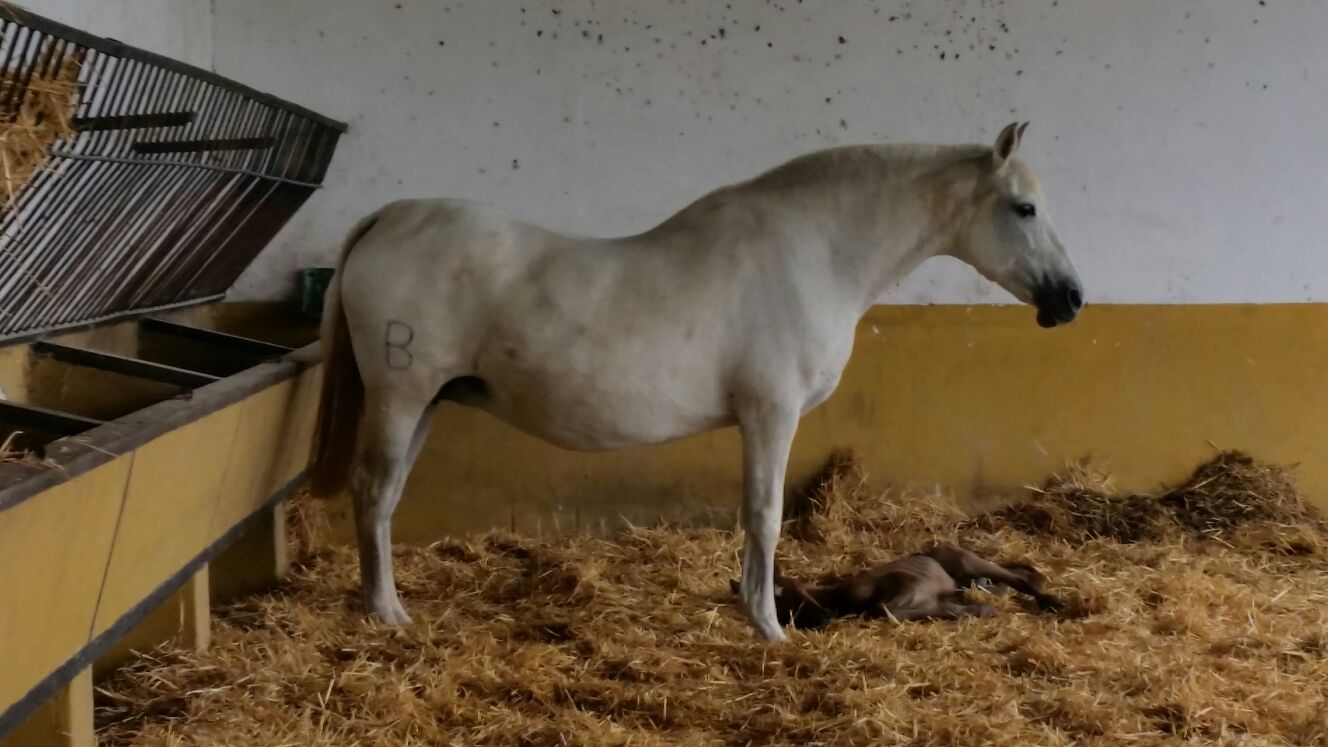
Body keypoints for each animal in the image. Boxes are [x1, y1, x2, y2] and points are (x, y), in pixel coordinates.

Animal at [308, 122, 1078, 640]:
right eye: (1025, 209)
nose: (1070, 299)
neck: (814, 254)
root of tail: (390, 217)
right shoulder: (771, 413)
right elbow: (763, 516)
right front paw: (768, 626)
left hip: (429, 402)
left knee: (385, 498)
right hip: (402, 398)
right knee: (372, 491)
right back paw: (386, 613)